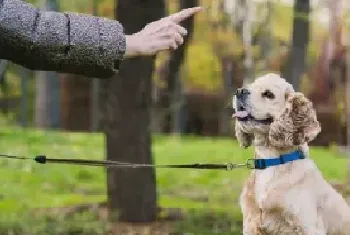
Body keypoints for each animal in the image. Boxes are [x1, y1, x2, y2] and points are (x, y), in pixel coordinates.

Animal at [232, 73, 350, 233]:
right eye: (250, 85)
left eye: (268, 94)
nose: (239, 91)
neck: (271, 160)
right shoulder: (251, 224)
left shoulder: (309, 226)